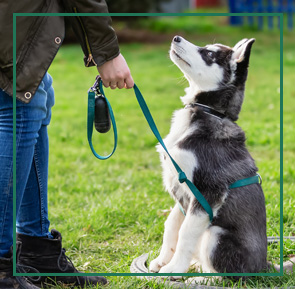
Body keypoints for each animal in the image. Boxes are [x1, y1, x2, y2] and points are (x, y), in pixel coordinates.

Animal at [150, 35, 268, 280]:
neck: (207, 111)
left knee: (229, 276)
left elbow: (185, 232)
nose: (176, 37)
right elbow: (172, 224)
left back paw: (201, 277)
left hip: (216, 235)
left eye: (209, 54)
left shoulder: (208, 192)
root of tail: (264, 268)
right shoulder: (183, 191)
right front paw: (162, 260)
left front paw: (174, 268)